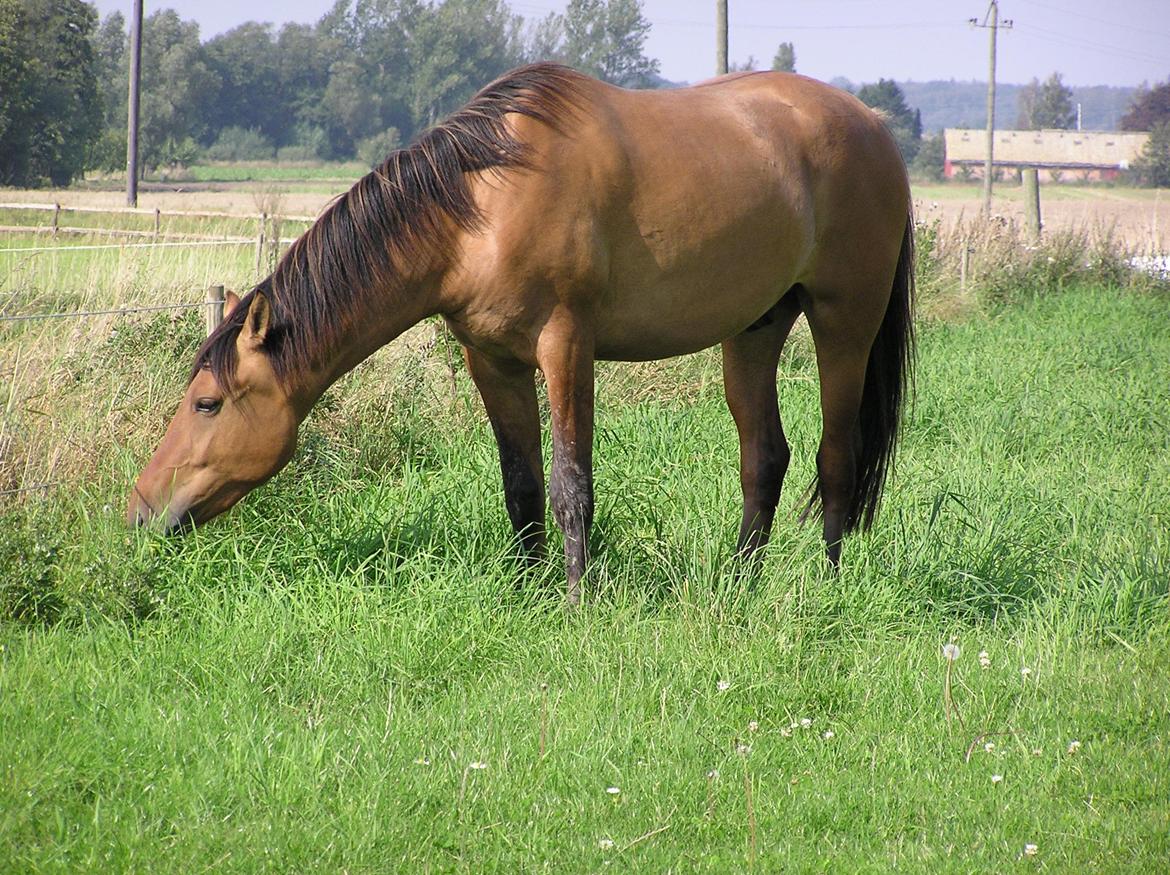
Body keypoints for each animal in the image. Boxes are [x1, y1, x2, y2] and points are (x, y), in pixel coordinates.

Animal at [128, 64, 912, 603]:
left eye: (206, 403)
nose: (140, 510)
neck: (482, 207)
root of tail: (874, 126)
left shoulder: (566, 347)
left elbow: (571, 483)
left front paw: (575, 601)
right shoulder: (492, 360)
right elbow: (522, 483)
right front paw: (527, 590)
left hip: (844, 321)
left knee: (836, 457)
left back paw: (827, 585)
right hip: (754, 328)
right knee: (765, 458)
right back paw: (740, 583)